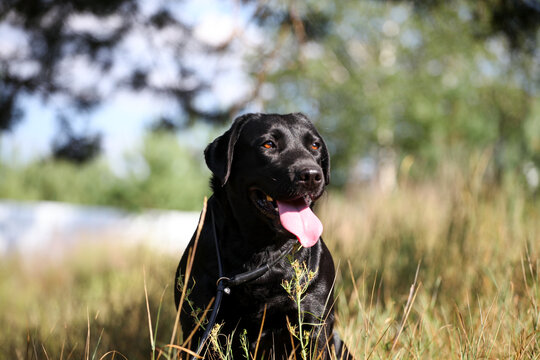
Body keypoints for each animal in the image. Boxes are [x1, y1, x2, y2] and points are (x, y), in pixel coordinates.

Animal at [173, 113, 350, 360]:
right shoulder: (197, 327)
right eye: (268, 144)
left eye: (315, 146)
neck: (262, 251)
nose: (312, 175)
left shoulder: (314, 323)